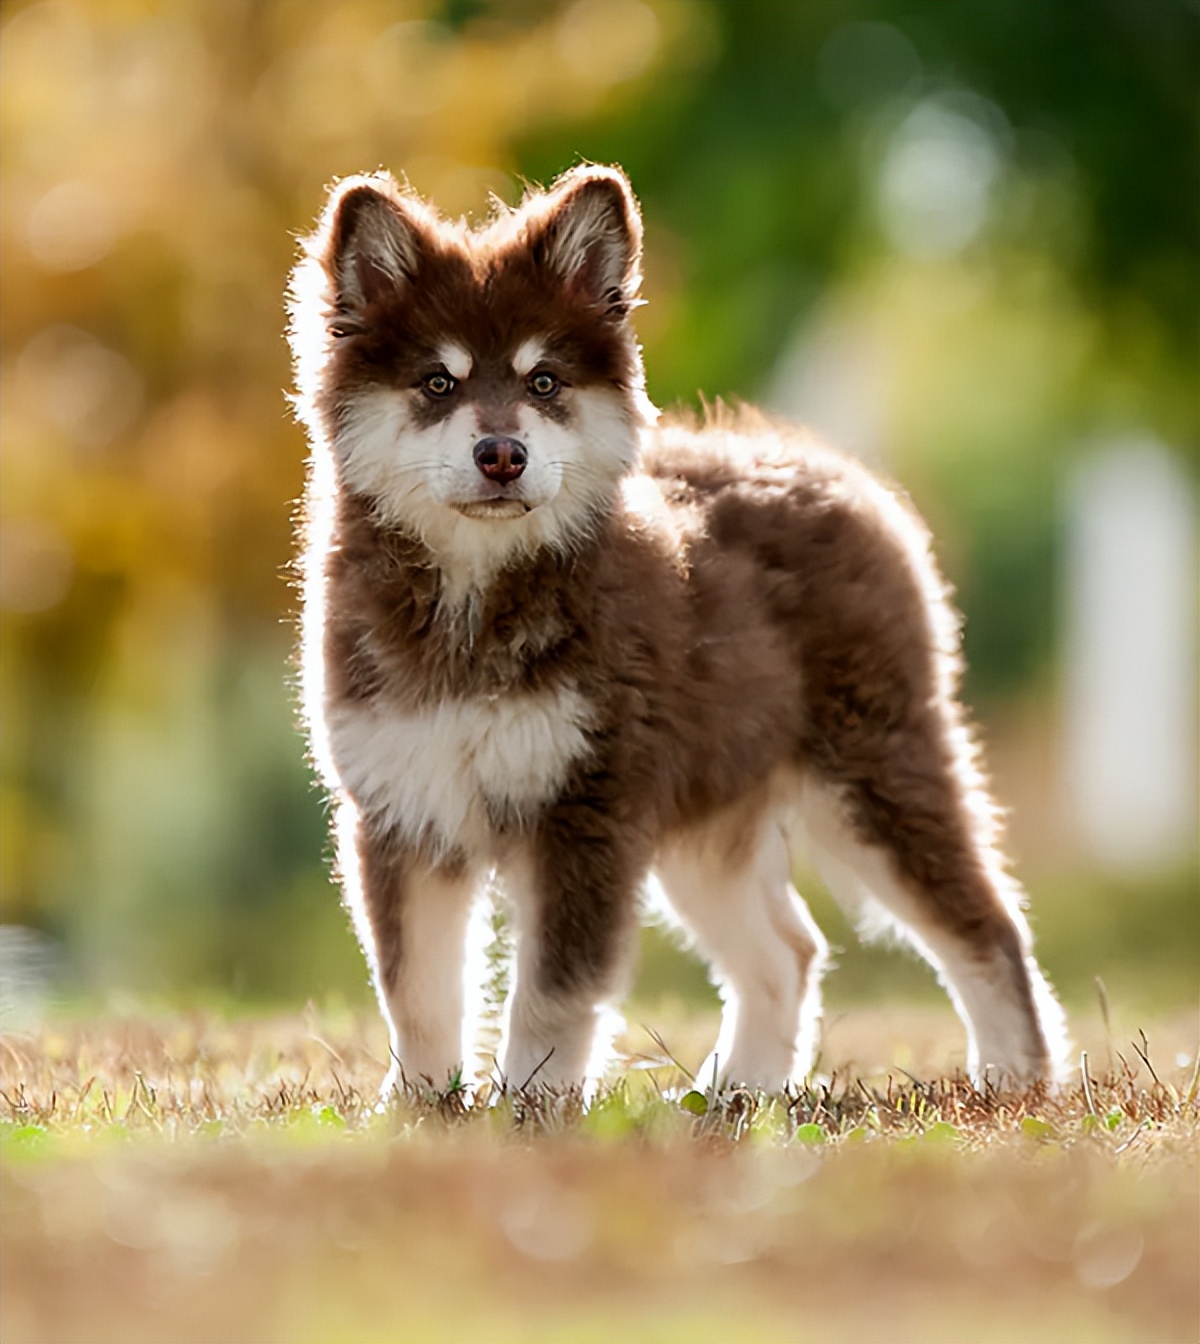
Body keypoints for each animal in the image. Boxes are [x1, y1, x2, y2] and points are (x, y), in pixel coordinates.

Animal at [287, 162, 1069, 1096]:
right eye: (438, 383)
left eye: (544, 382)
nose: (502, 455)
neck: (475, 603)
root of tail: (836, 470)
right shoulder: (404, 810)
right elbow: (417, 992)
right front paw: (421, 1109)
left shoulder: (587, 812)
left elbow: (552, 994)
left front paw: (531, 1108)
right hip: (707, 821)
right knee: (789, 952)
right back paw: (739, 1094)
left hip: (872, 778)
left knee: (985, 926)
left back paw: (1015, 1078)